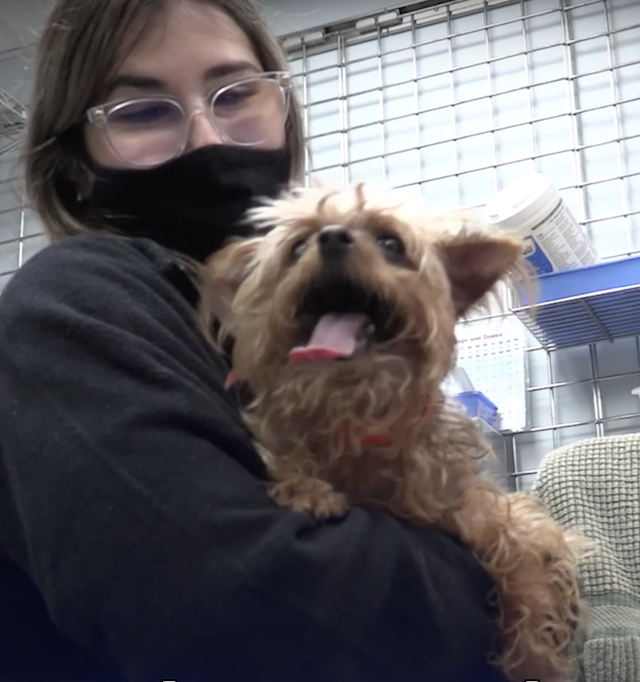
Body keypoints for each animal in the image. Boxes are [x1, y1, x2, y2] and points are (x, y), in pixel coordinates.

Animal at [202, 182, 588, 680]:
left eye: (390, 242)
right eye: (298, 247)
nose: (331, 237)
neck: (357, 410)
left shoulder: (498, 517)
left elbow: (523, 569)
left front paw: (531, 658)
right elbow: (284, 454)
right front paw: (307, 487)